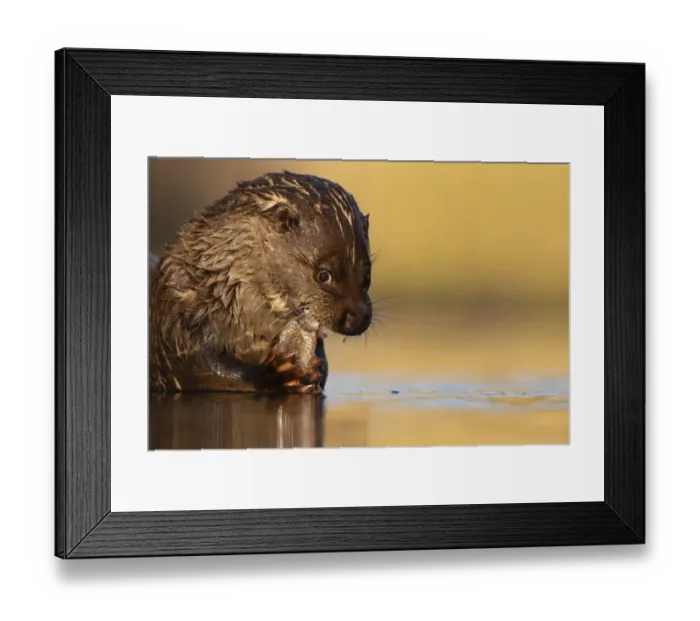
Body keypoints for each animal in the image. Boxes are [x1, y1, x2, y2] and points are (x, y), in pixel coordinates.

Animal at [149, 171, 372, 394]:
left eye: (367, 274)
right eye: (323, 275)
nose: (358, 317)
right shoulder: (177, 324)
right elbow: (203, 368)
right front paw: (278, 374)